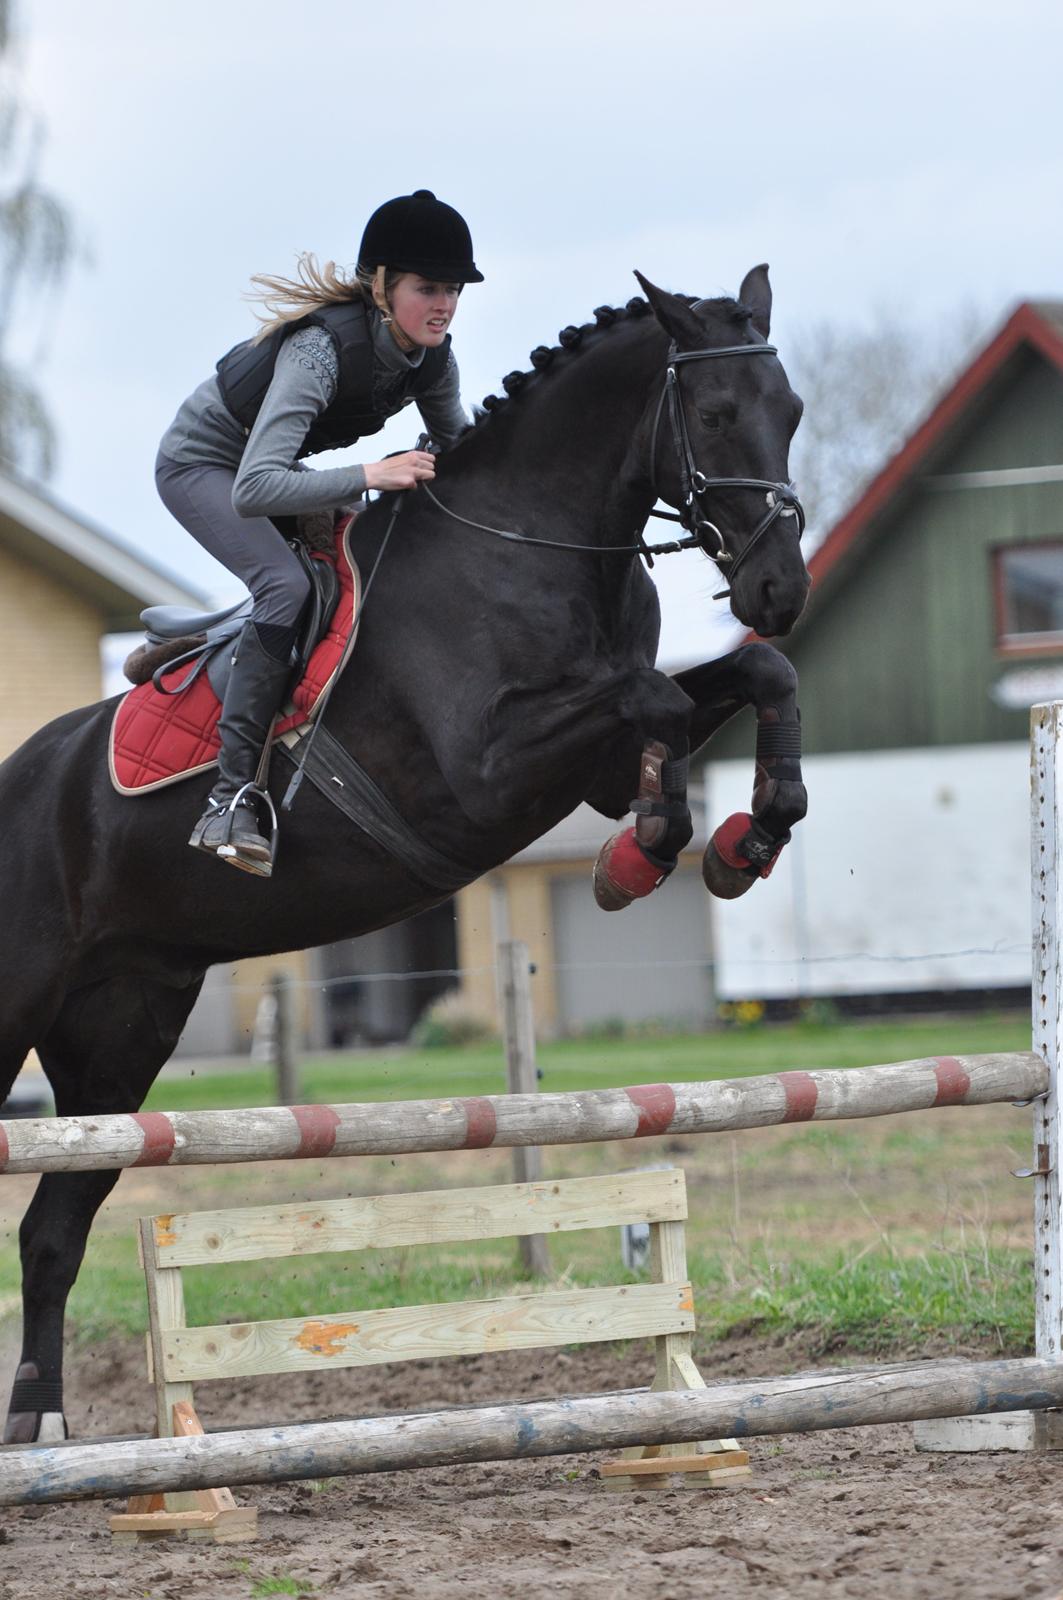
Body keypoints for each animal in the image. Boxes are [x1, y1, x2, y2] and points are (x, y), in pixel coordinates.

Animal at [0, 268, 810, 1446]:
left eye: (787, 412)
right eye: (710, 415)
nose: (779, 589)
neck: (530, 542)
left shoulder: (593, 760)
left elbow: (754, 677)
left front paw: (746, 838)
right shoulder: (484, 770)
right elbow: (656, 701)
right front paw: (642, 858)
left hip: (120, 1030)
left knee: (52, 1229)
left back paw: (42, 1430)